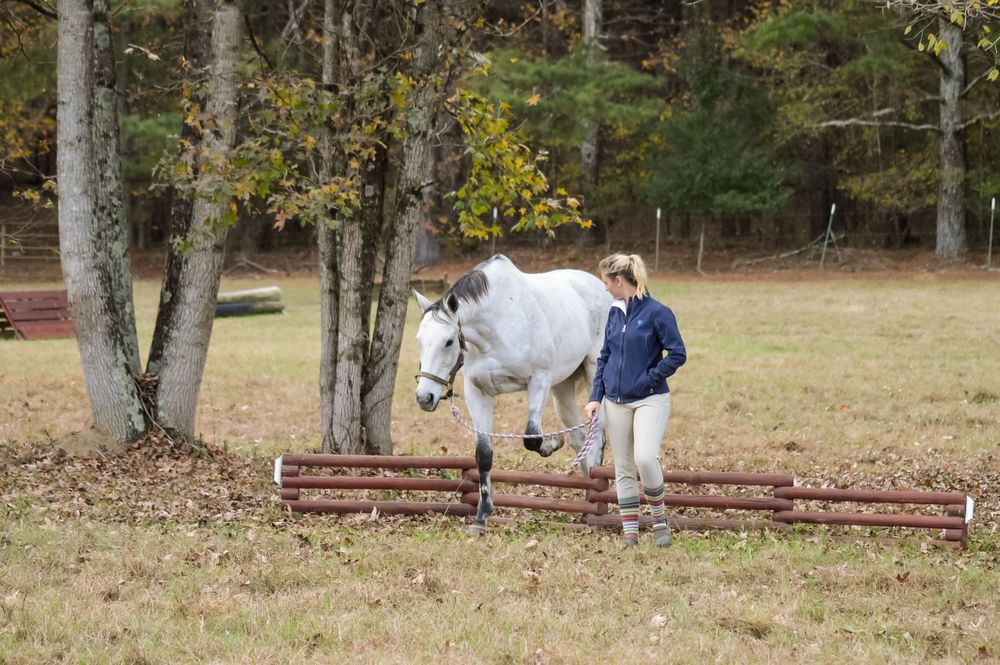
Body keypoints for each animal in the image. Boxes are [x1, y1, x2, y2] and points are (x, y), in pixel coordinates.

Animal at [413, 254, 612, 534]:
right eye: (419, 340)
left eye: (449, 342)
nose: (424, 397)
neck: (497, 324)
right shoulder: (478, 391)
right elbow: (484, 455)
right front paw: (481, 518)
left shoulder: (539, 380)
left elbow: (532, 437)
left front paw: (552, 443)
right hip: (562, 390)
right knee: (580, 439)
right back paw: (586, 506)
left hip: (594, 375)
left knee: (596, 438)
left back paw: (596, 505)